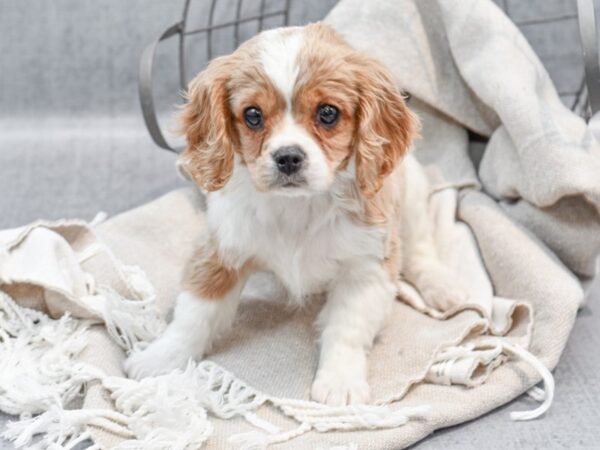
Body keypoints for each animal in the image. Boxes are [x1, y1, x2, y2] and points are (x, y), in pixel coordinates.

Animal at [124, 22, 466, 406]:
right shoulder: (221, 250)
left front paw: (340, 382)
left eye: (328, 113)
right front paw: (161, 357)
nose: (288, 157)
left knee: (421, 249)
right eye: (252, 115)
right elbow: (195, 313)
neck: (298, 207)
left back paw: (442, 286)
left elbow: (347, 328)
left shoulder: (366, 266)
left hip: (412, 195)